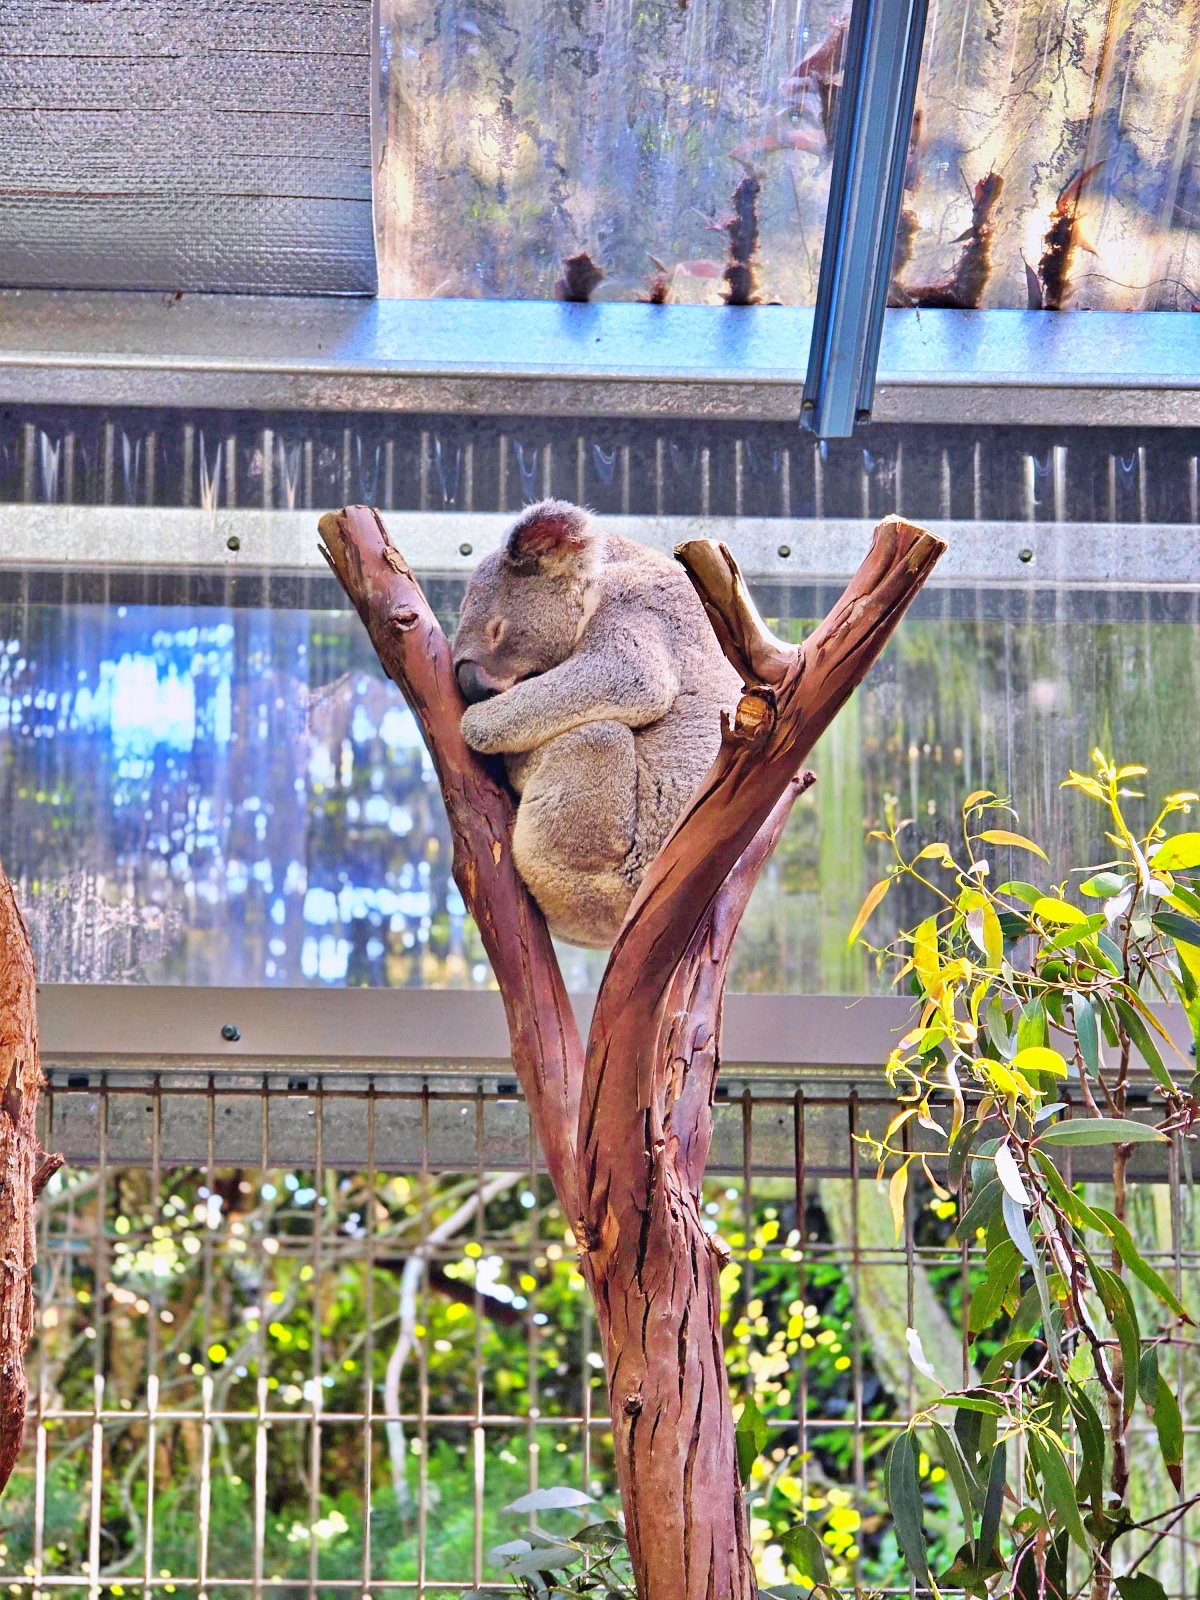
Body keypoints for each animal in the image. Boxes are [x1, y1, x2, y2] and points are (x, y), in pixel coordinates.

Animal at [450, 499, 743, 948]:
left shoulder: (639, 608)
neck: (607, 569)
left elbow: (634, 676)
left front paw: (475, 723)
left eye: (496, 630)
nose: (471, 686)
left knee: (597, 738)